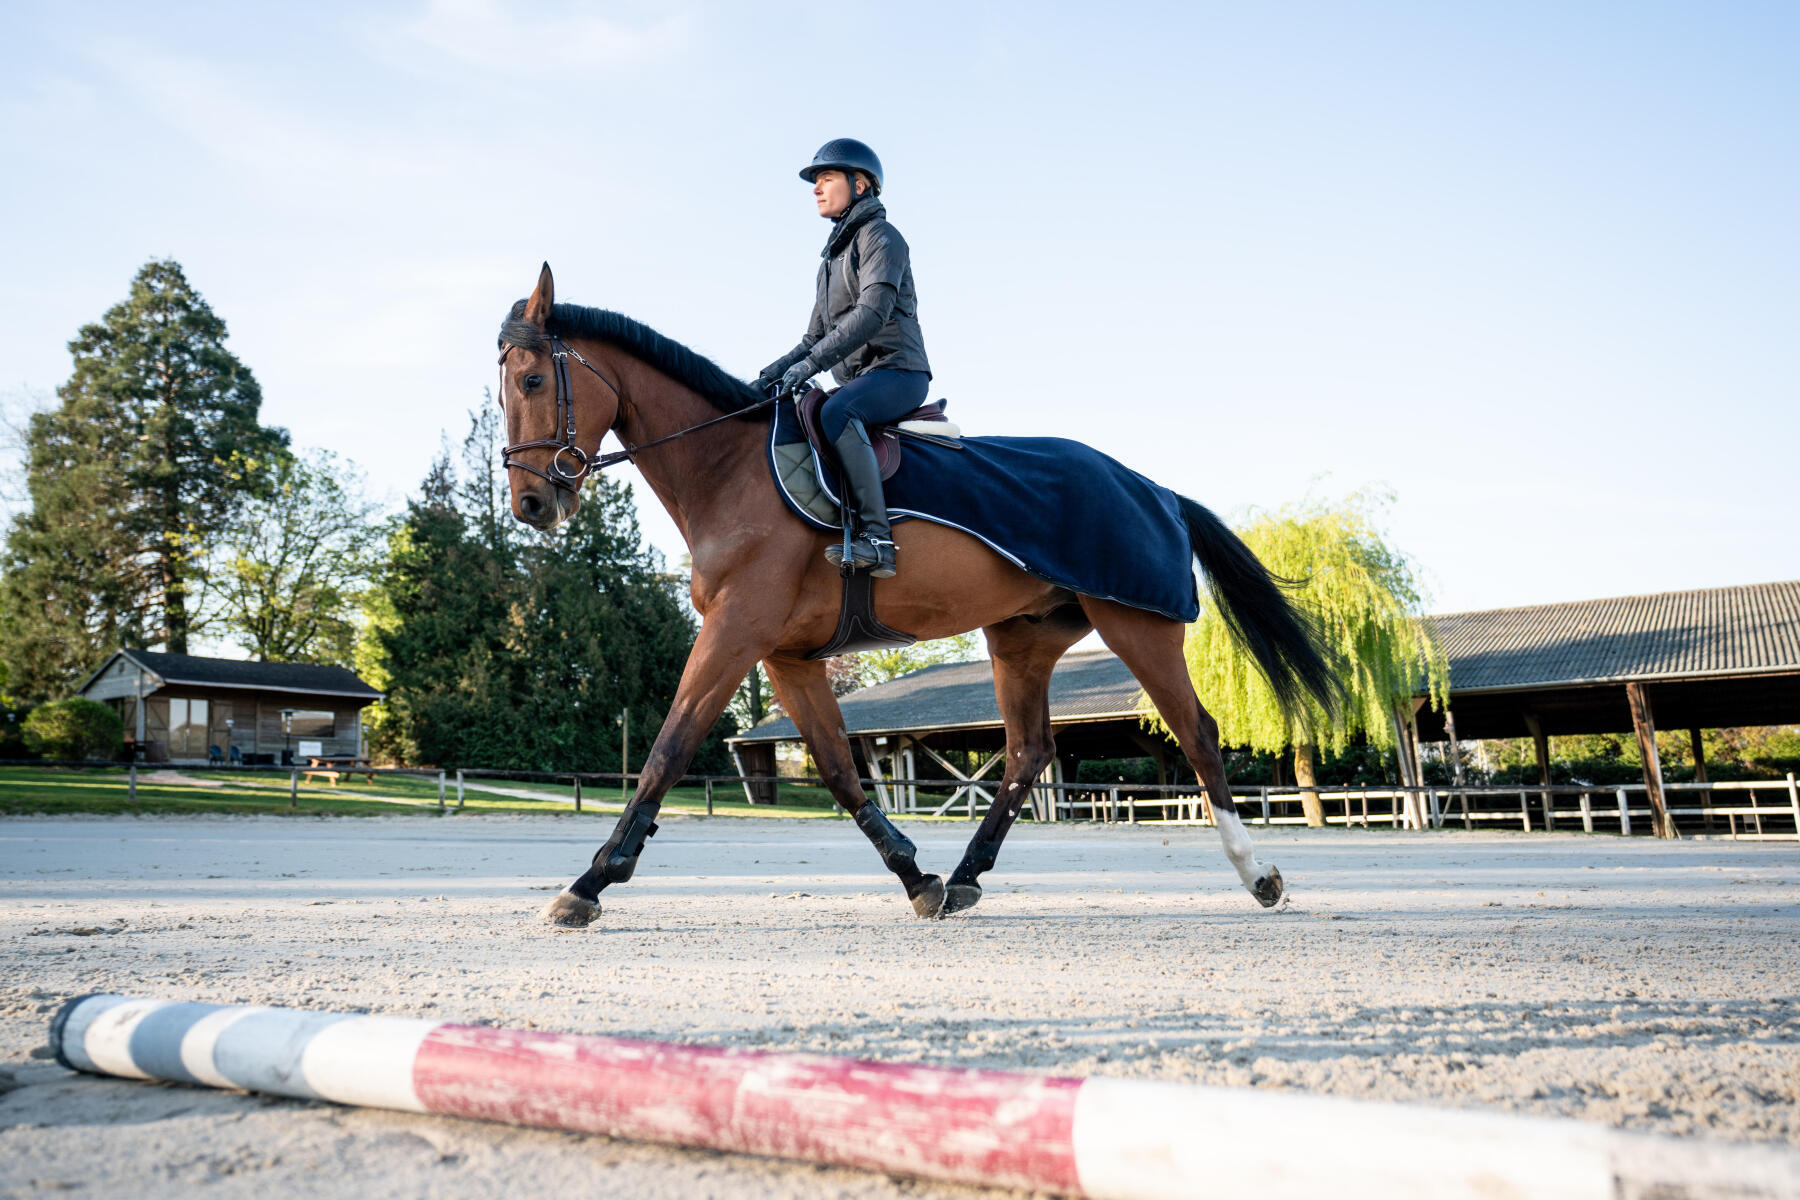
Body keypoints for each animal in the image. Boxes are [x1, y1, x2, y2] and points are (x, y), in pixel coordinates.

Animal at [493, 260, 1339, 928]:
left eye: (533, 380)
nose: (532, 504)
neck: (728, 466)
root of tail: (1153, 488)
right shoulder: (787, 656)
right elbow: (839, 771)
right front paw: (916, 877)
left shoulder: (737, 632)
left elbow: (667, 748)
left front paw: (590, 883)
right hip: (1022, 639)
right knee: (1028, 752)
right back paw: (964, 878)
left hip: (1137, 625)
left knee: (1195, 732)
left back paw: (1260, 875)